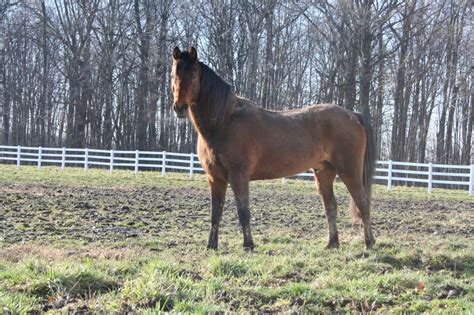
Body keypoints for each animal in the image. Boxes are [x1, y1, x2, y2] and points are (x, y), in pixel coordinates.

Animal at [172, 47, 376, 251]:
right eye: (174, 74)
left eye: (194, 74)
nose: (179, 107)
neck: (225, 122)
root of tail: (354, 115)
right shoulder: (214, 178)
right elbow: (215, 213)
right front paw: (211, 246)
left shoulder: (239, 176)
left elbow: (243, 212)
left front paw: (248, 245)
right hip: (324, 172)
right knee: (330, 207)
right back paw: (332, 243)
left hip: (350, 172)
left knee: (363, 204)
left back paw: (369, 243)